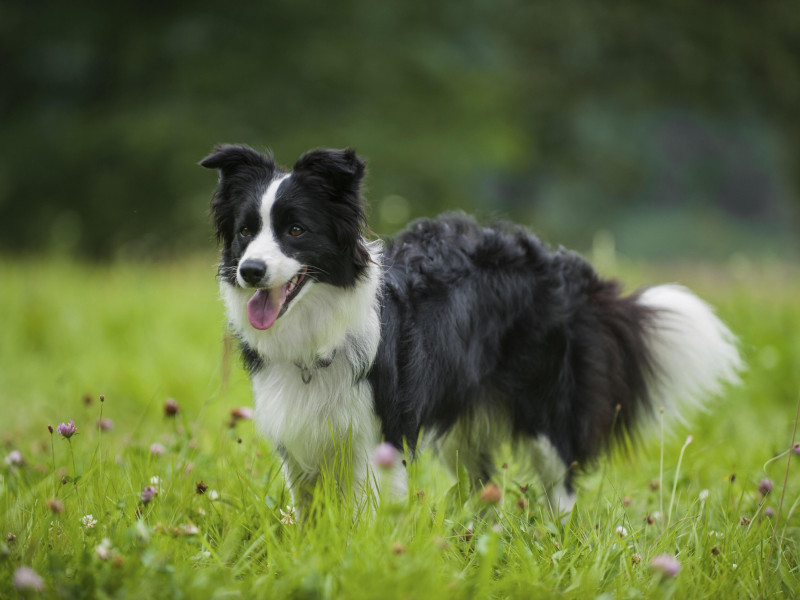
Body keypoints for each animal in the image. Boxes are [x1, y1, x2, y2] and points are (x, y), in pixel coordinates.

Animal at [202, 144, 744, 516]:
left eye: (296, 230)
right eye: (246, 231)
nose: (250, 271)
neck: (316, 328)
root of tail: (564, 266)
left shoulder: (378, 432)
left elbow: (368, 512)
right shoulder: (298, 432)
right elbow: (309, 510)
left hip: (544, 406)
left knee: (561, 484)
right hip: (463, 421)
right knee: (482, 485)